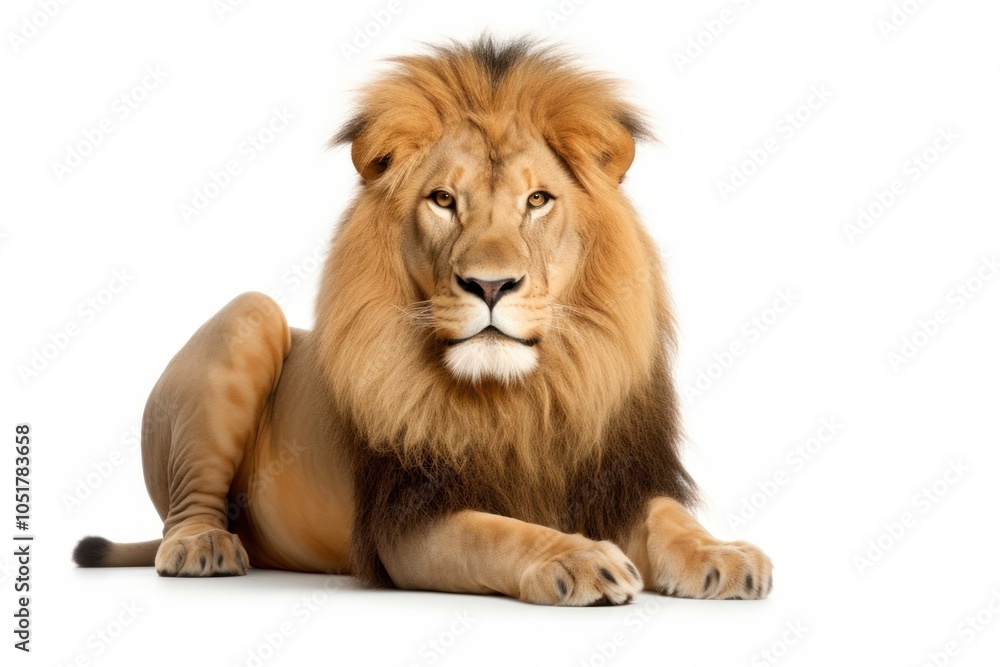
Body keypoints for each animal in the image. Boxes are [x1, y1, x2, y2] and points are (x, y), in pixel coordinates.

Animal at [73, 37, 773, 605]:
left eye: (537, 199)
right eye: (442, 200)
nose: (490, 285)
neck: (521, 398)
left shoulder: (611, 479)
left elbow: (668, 518)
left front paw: (722, 555)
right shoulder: (408, 523)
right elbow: (499, 533)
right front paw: (576, 557)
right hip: (249, 314)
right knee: (187, 508)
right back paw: (203, 546)